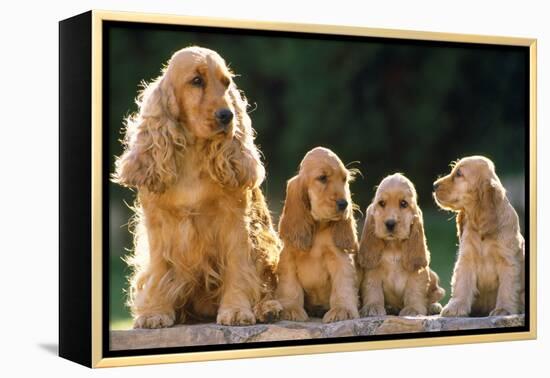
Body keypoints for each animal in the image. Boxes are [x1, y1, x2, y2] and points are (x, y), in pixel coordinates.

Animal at [113, 45, 282, 326]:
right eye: (196, 81)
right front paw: (155, 312)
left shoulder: (234, 221)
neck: (192, 155)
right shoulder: (157, 224)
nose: (227, 116)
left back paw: (267, 308)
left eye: (226, 83)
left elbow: (238, 267)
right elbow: (159, 270)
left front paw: (236, 310)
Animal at [276, 147, 362, 322]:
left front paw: (342, 310)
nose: (344, 204)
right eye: (322, 178)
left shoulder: (340, 258)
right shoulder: (288, 257)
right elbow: (290, 286)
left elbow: (342, 285)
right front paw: (291, 309)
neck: (318, 226)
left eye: (344, 179)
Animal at [360, 174, 446, 316]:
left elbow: (414, 290)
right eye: (381, 203)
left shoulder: (417, 273)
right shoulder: (373, 270)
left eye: (403, 203)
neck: (393, 246)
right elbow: (373, 288)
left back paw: (434, 307)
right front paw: (373, 307)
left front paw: (413, 309)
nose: (390, 223)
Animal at [436, 155, 528, 318]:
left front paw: (503, 309)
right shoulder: (466, 259)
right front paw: (455, 307)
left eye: (459, 174)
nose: (434, 185)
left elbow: (507, 288)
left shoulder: (508, 262)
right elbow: (462, 284)